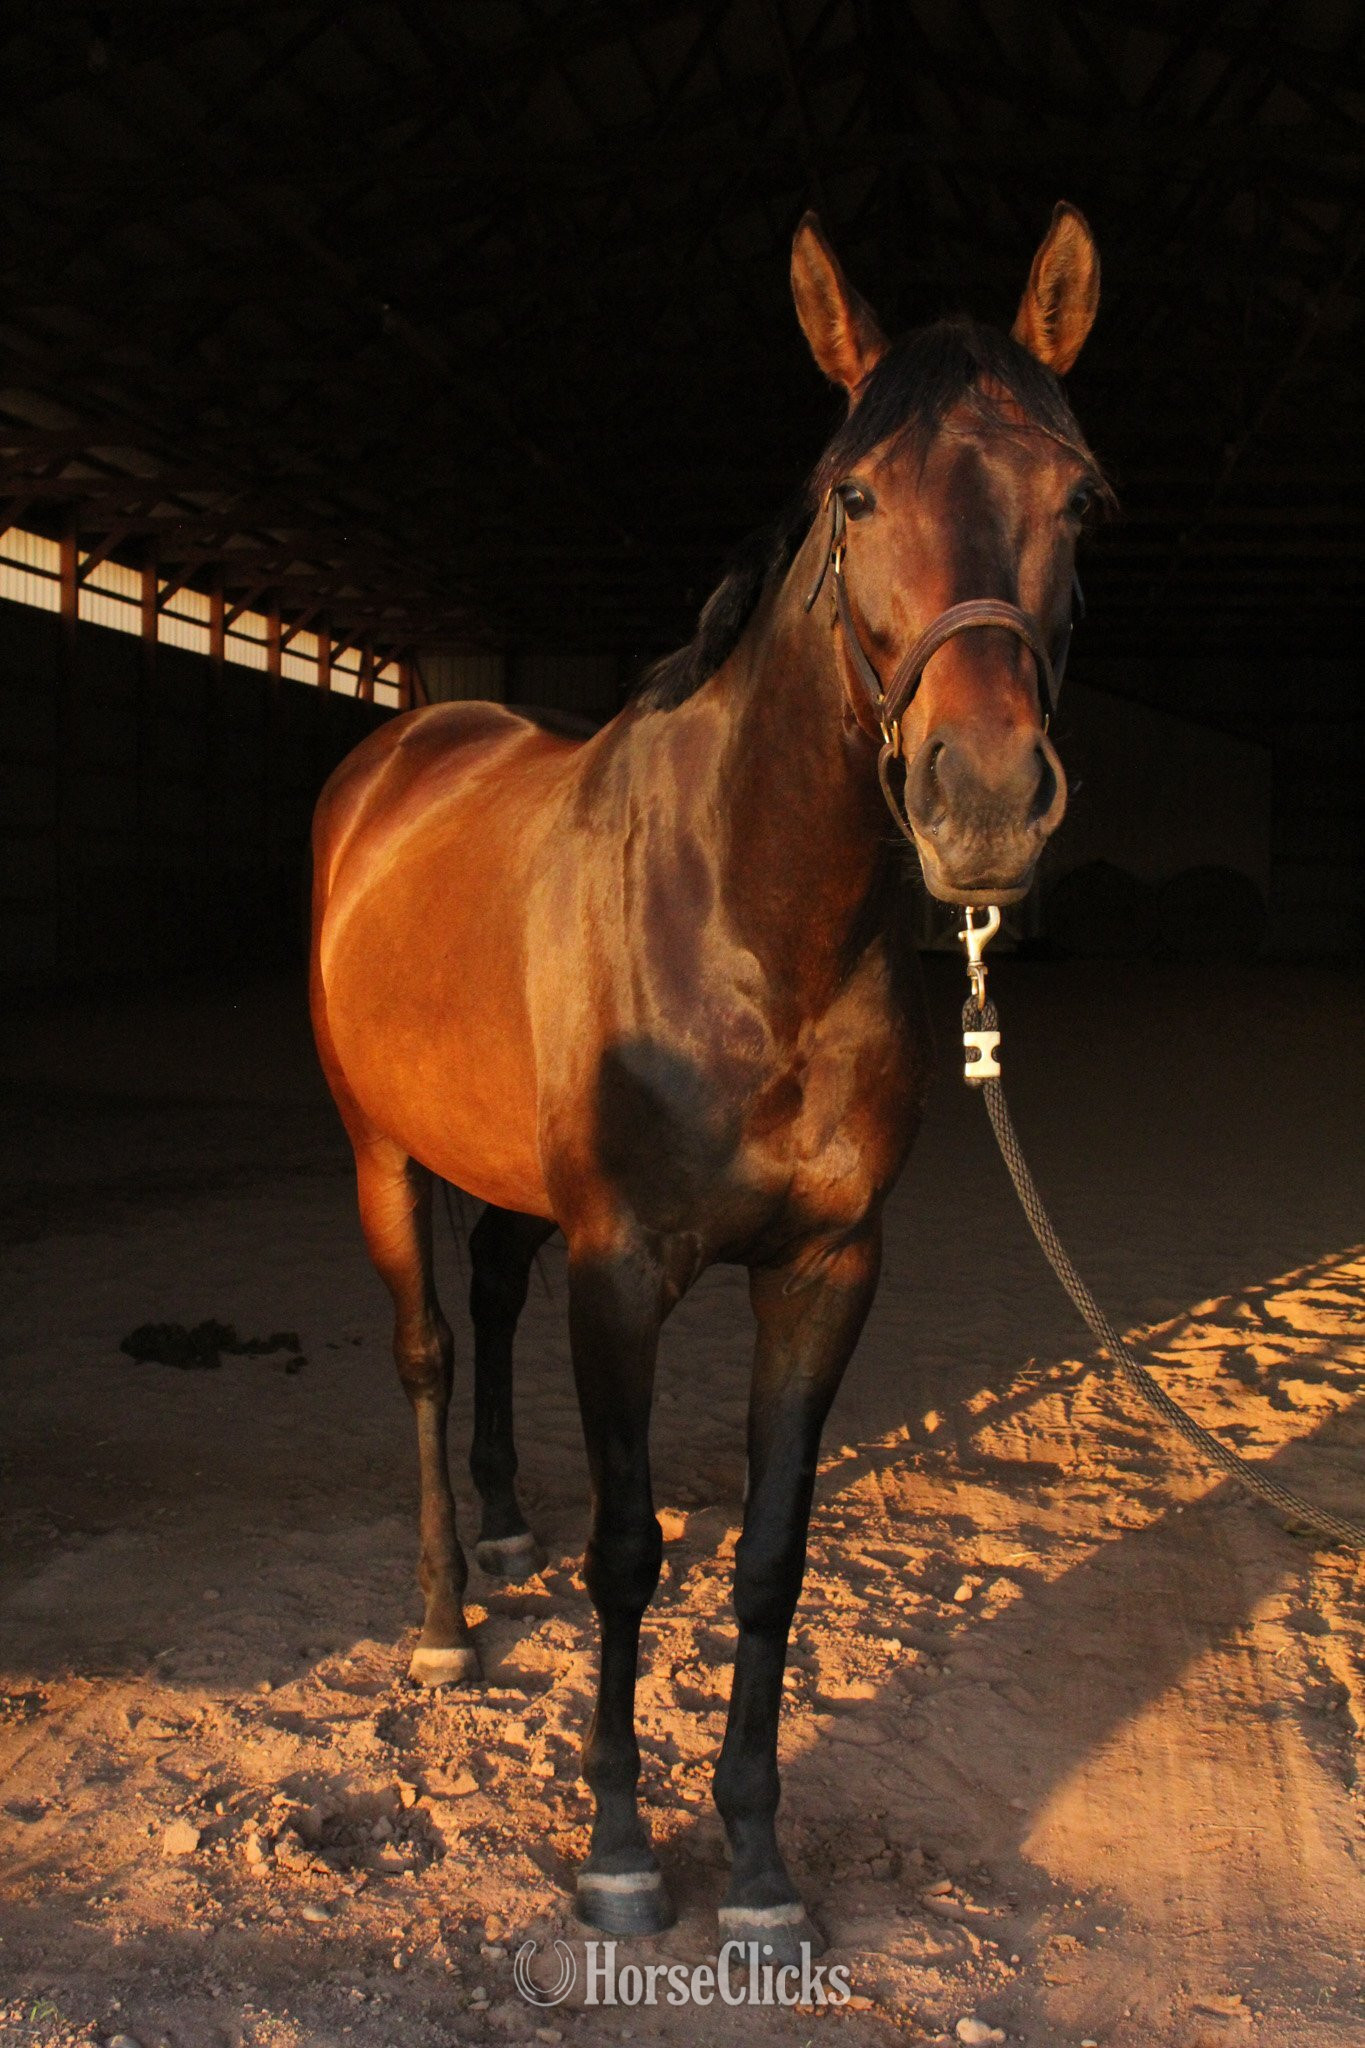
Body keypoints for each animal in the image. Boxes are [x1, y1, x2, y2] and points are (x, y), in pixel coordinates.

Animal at [309, 201, 1104, 1959]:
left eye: (1080, 496)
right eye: (854, 494)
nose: (981, 799)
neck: (747, 921)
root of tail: (404, 747)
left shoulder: (825, 1269)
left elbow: (769, 1558)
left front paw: (753, 1862)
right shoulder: (624, 1269)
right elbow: (627, 1556)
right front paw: (618, 1853)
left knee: (490, 1289)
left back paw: (501, 1525)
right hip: (380, 1150)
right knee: (425, 1353)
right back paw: (446, 1613)